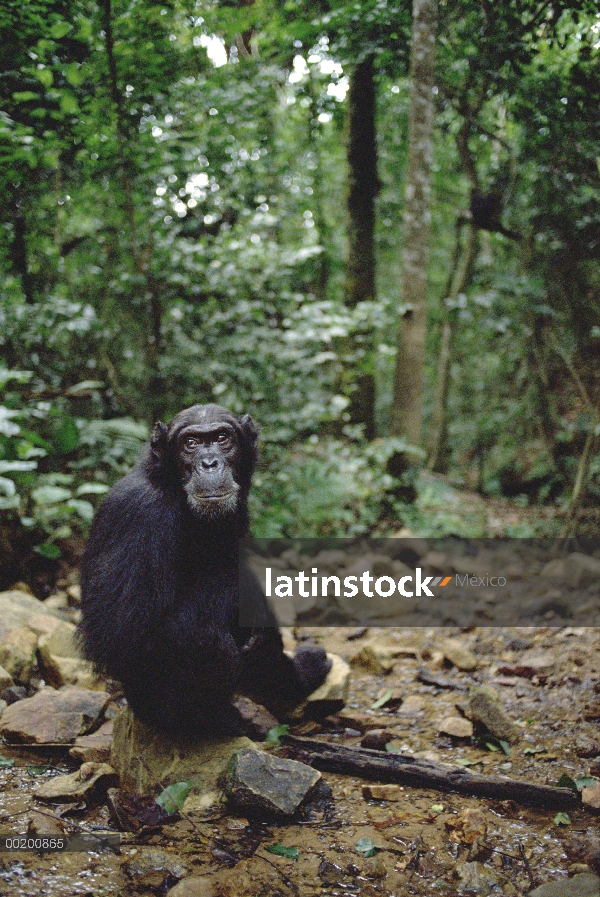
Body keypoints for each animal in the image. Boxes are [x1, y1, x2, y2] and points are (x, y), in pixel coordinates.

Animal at [77, 404, 330, 736]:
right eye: (191, 443)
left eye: (222, 438)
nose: (209, 463)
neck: (171, 486)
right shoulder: (140, 516)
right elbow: (122, 631)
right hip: (162, 710)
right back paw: (215, 719)